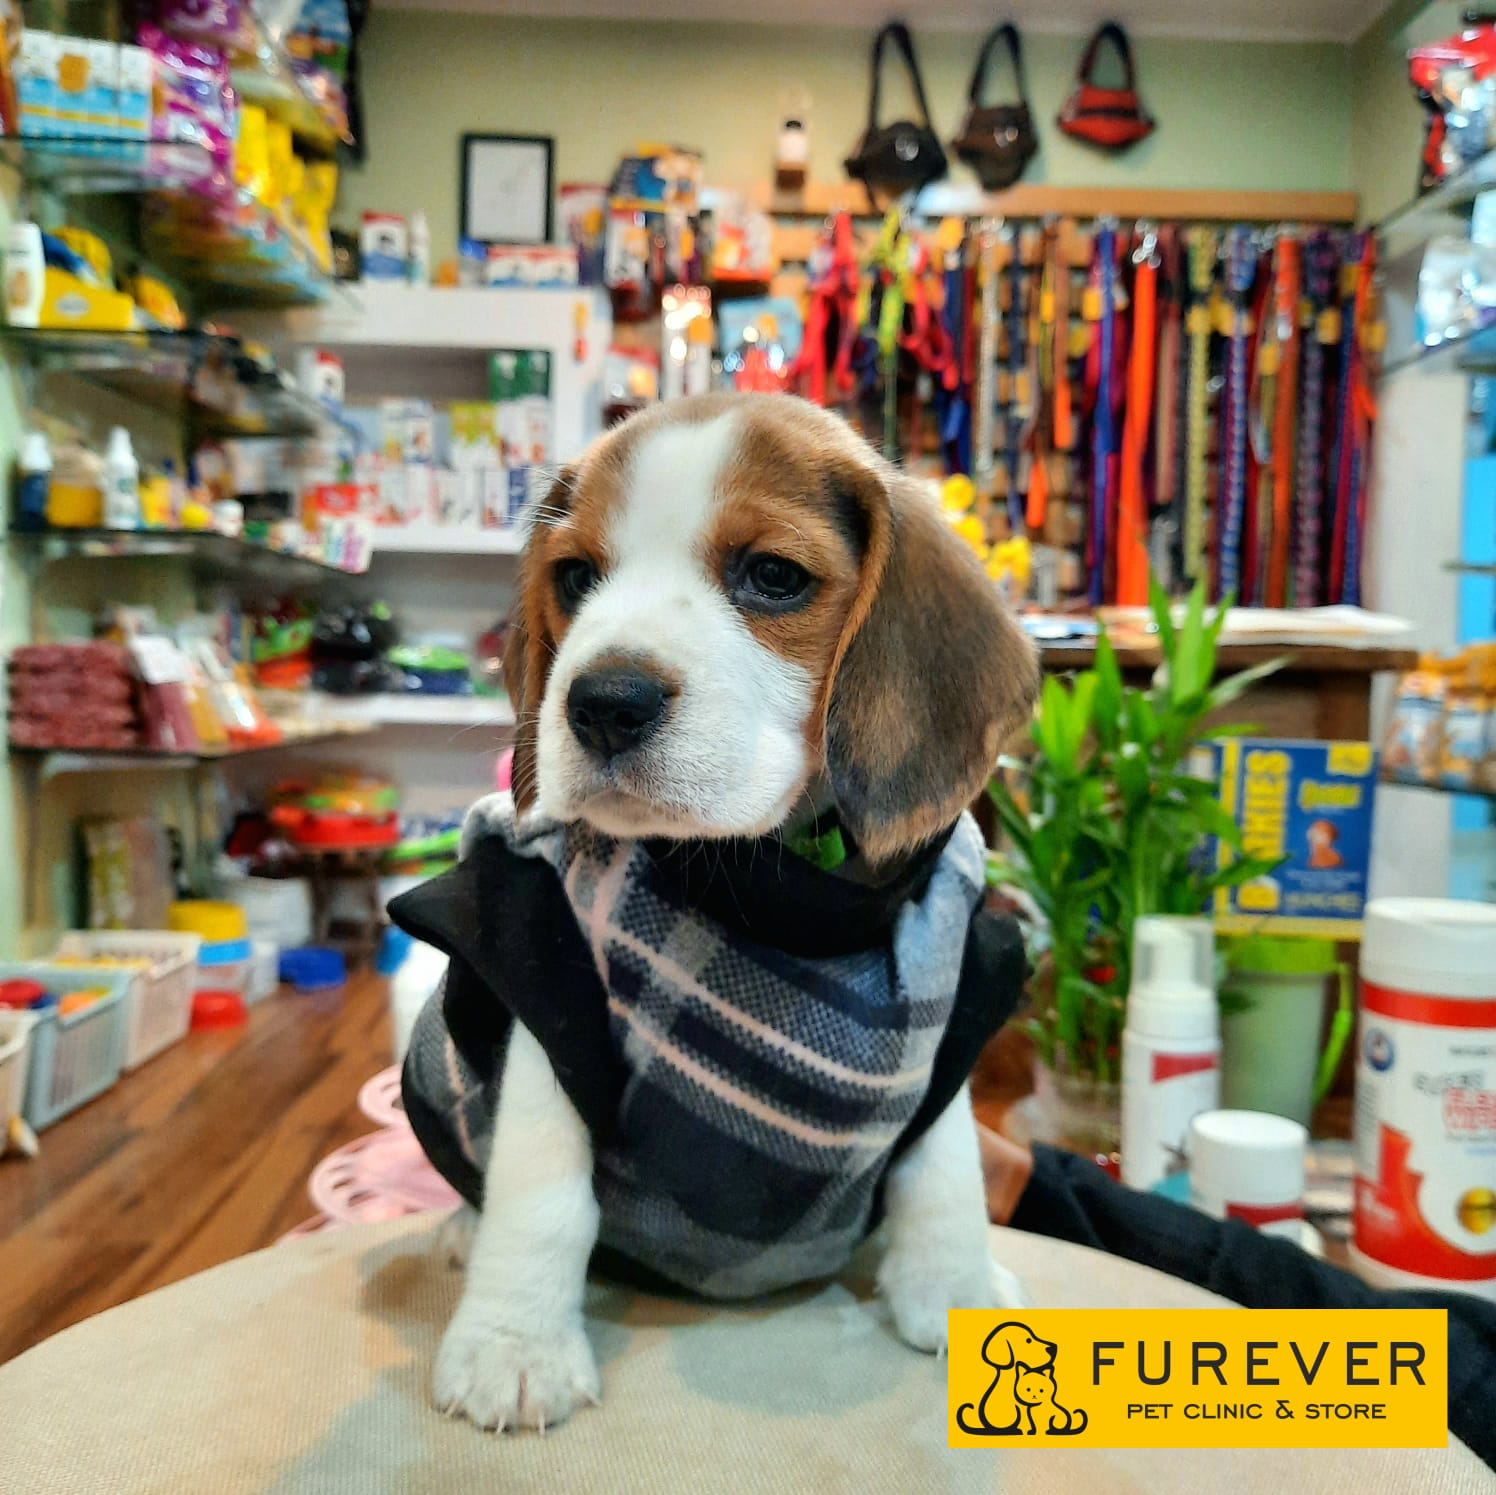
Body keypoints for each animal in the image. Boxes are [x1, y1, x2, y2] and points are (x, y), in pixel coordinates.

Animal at [393, 391, 1040, 1434]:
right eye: (573, 576)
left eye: (772, 576)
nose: (601, 703)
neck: (782, 888)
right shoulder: (546, 983)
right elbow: (541, 1186)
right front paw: (515, 1345)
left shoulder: (957, 1005)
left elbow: (946, 1173)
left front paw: (956, 1291)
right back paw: (461, 1227)